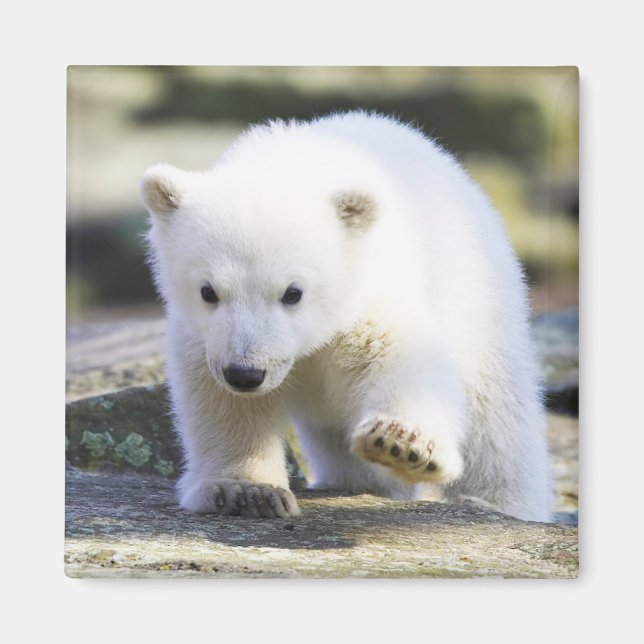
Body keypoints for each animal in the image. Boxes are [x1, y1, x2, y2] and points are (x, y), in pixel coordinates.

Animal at [140, 111, 551, 522]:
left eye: (293, 292)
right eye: (208, 291)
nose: (245, 373)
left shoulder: (366, 293)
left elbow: (400, 353)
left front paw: (401, 443)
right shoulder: (205, 337)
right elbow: (222, 402)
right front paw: (247, 491)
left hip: (477, 295)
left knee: (495, 420)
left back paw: (501, 502)